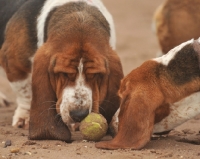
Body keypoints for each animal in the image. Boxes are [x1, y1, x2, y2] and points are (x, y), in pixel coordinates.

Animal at [0, 0, 123, 142]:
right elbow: (25, 92)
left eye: (95, 74)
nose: (79, 115)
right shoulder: (14, 65)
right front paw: (25, 117)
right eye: (64, 73)